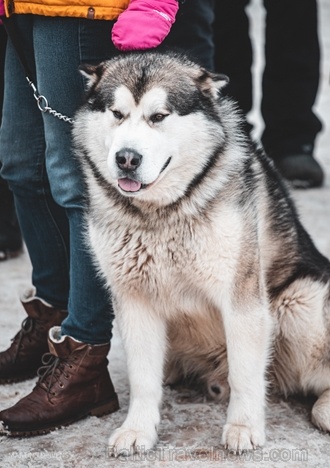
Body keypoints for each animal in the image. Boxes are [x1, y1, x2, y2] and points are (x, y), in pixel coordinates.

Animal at [73, 53, 330, 456]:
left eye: (158, 116)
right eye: (116, 113)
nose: (127, 158)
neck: (161, 214)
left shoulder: (242, 299)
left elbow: (245, 373)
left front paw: (243, 426)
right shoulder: (134, 299)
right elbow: (143, 379)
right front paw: (138, 429)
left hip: (297, 303)